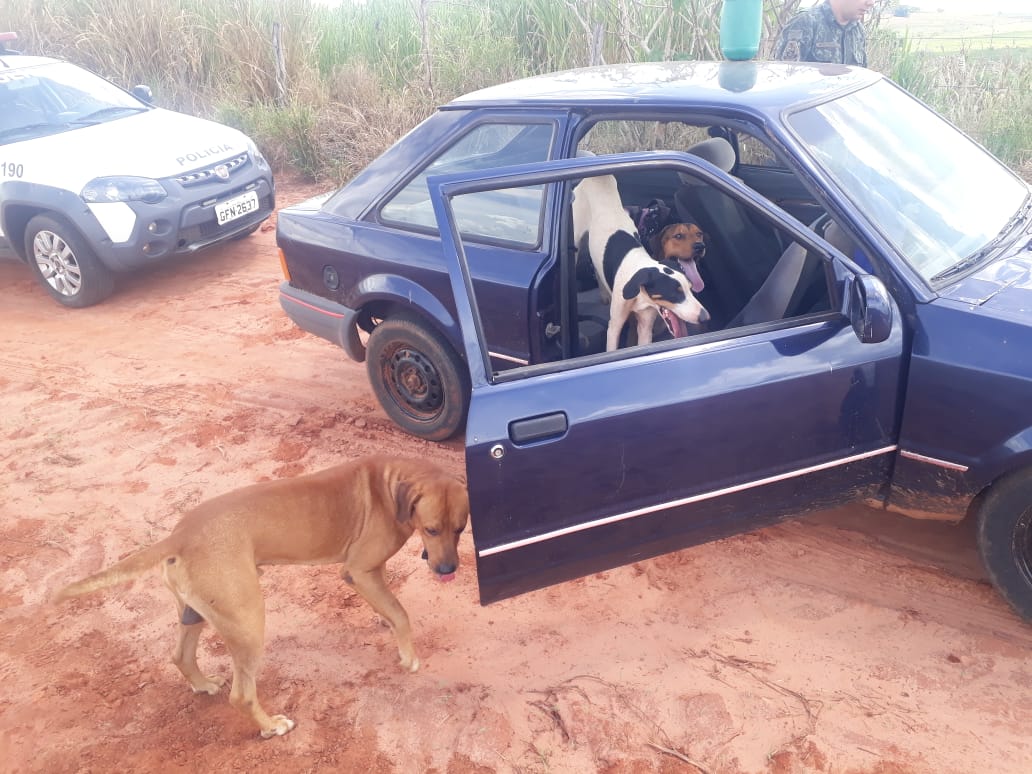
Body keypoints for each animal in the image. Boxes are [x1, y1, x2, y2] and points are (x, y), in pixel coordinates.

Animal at [50, 458, 466, 743]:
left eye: (461, 529)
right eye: (431, 529)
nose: (448, 569)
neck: (393, 482)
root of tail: (178, 536)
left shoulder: (370, 574)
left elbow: (388, 604)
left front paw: (384, 620)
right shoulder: (359, 570)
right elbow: (401, 613)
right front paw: (408, 655)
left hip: (195, 613)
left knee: (181, 656)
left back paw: (202, 684)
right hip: (248, 621)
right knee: (241, 695)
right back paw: (271, 727)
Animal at [573, 173, 710, 350]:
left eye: (690, 289)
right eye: (675, 293)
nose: (706, 317)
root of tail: (598, 177)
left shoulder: (645, 325)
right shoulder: (615, 326)